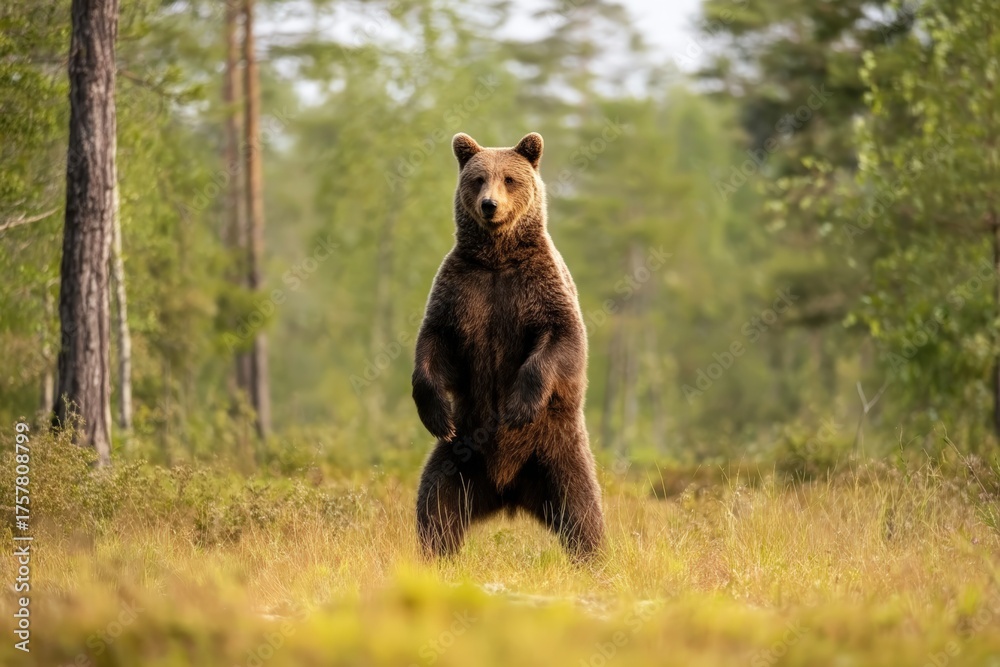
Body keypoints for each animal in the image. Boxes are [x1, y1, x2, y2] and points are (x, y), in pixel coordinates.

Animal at [412, 131, 604, 561]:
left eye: (510, 179)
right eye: (478, 179)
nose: (490, 205)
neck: (498, 257)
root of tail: (508, 490)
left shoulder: (538, 287)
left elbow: (561, 340)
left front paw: (518, 407)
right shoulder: (462, 290)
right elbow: (433, 343)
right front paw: (437, 414)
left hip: (557, 451)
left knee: (581, 509)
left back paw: (595, 556)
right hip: (458, 458)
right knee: (435, 506)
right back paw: (436, 554)